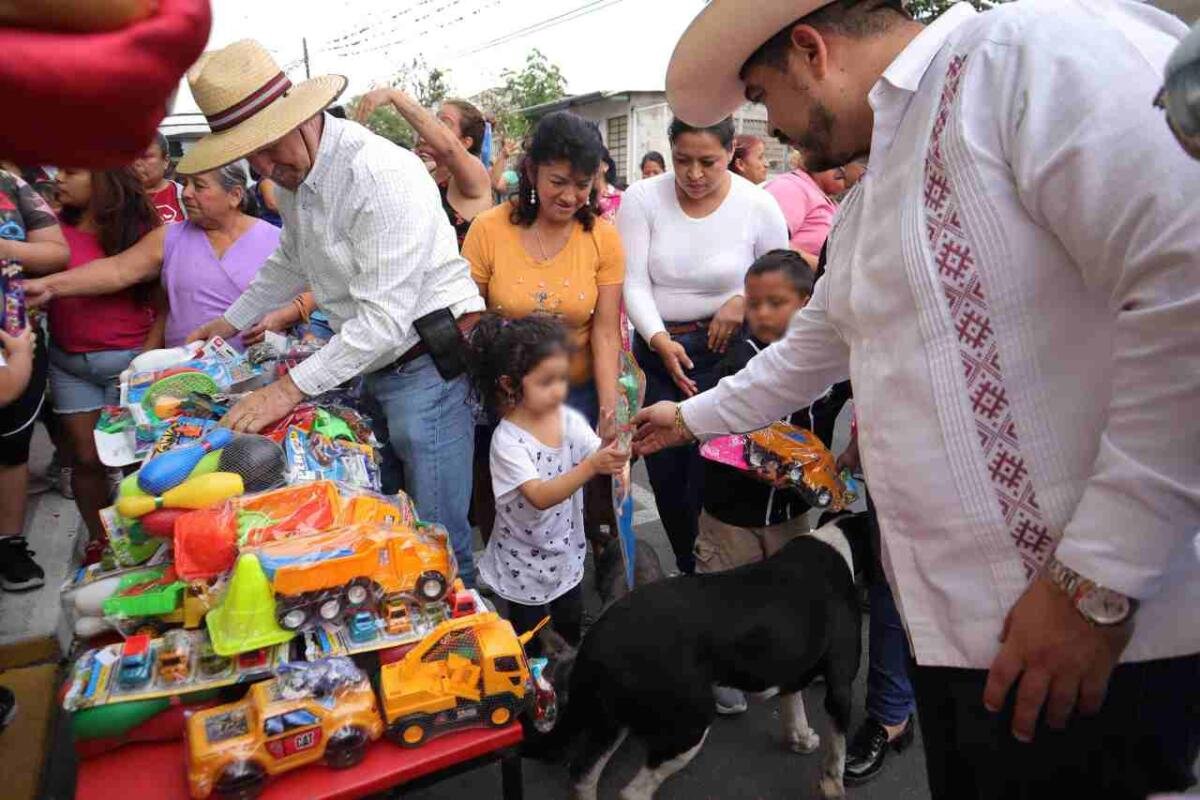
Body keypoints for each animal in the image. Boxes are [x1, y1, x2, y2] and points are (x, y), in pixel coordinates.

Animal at [556, 520, 859, 800]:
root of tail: (596, 638)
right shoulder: (841, 688)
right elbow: (837, 751)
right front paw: (833, 787)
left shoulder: (791, 666)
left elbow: (794, 709)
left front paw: (802, 740)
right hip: (689, 725)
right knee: (632, 792)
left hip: (611, 721)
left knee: (583, 775)